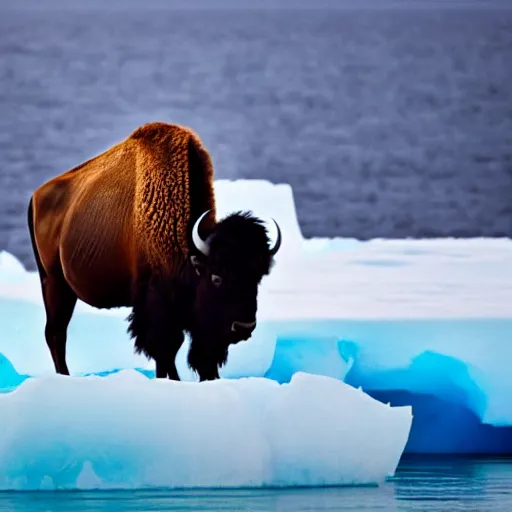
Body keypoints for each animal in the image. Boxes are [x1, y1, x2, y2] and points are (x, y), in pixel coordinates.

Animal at [27, 122, 280, 382]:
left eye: (258, 277)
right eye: (216, 277)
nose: (244, 327)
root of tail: (37, 196)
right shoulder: (156, 301)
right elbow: (165, 348)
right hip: (54, 283)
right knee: (56, 333)